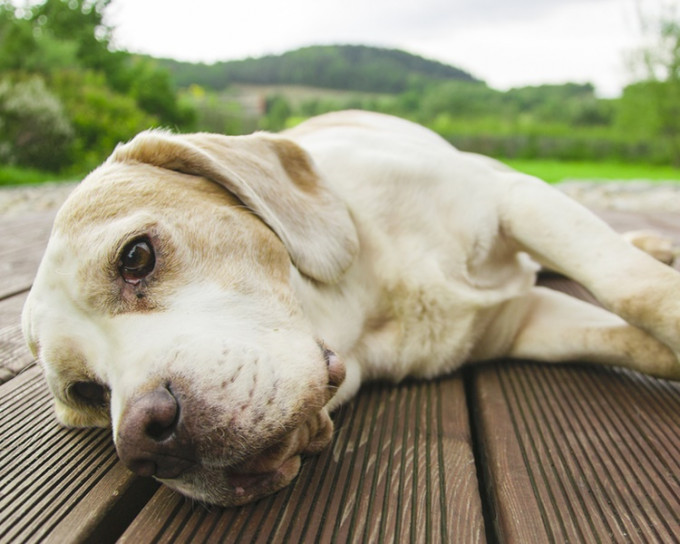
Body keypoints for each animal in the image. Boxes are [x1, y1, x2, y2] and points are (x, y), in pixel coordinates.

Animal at [19, 109, 680, 506]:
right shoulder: (529, 323)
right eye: (87, 391)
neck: (371, 300)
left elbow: (637, 288)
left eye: (135, 257)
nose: (146, 443)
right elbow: (642, 339)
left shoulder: (514, 197)